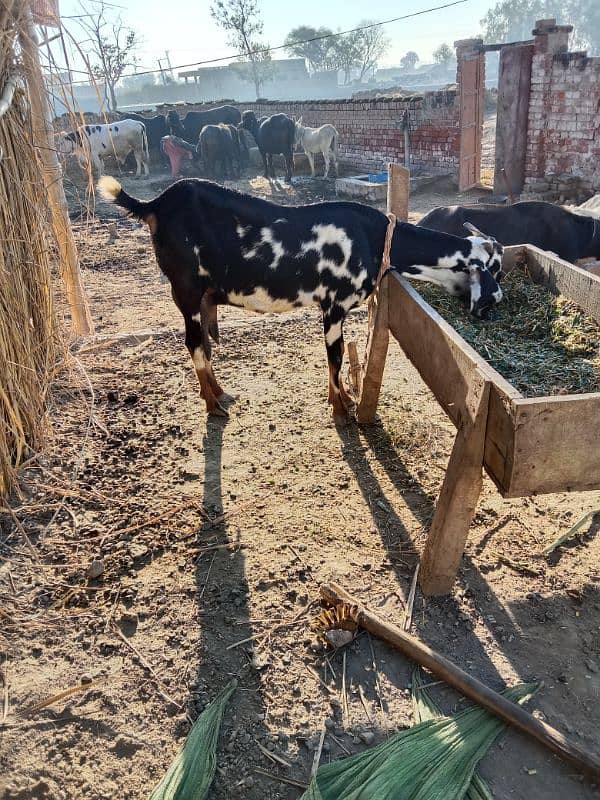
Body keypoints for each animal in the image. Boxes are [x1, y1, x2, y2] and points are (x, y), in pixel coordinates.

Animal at [98, 176, 502, 424]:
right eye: (494, 268)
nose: (494, 305)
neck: (372, 237)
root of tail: (155, 204)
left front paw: (339, 400)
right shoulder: (335, 306)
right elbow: (335, 358)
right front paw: (341, 408)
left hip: (199, 297)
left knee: (204, 347)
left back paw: (219, 394)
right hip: (185, 288)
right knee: (194, 344)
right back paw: (213, 406)